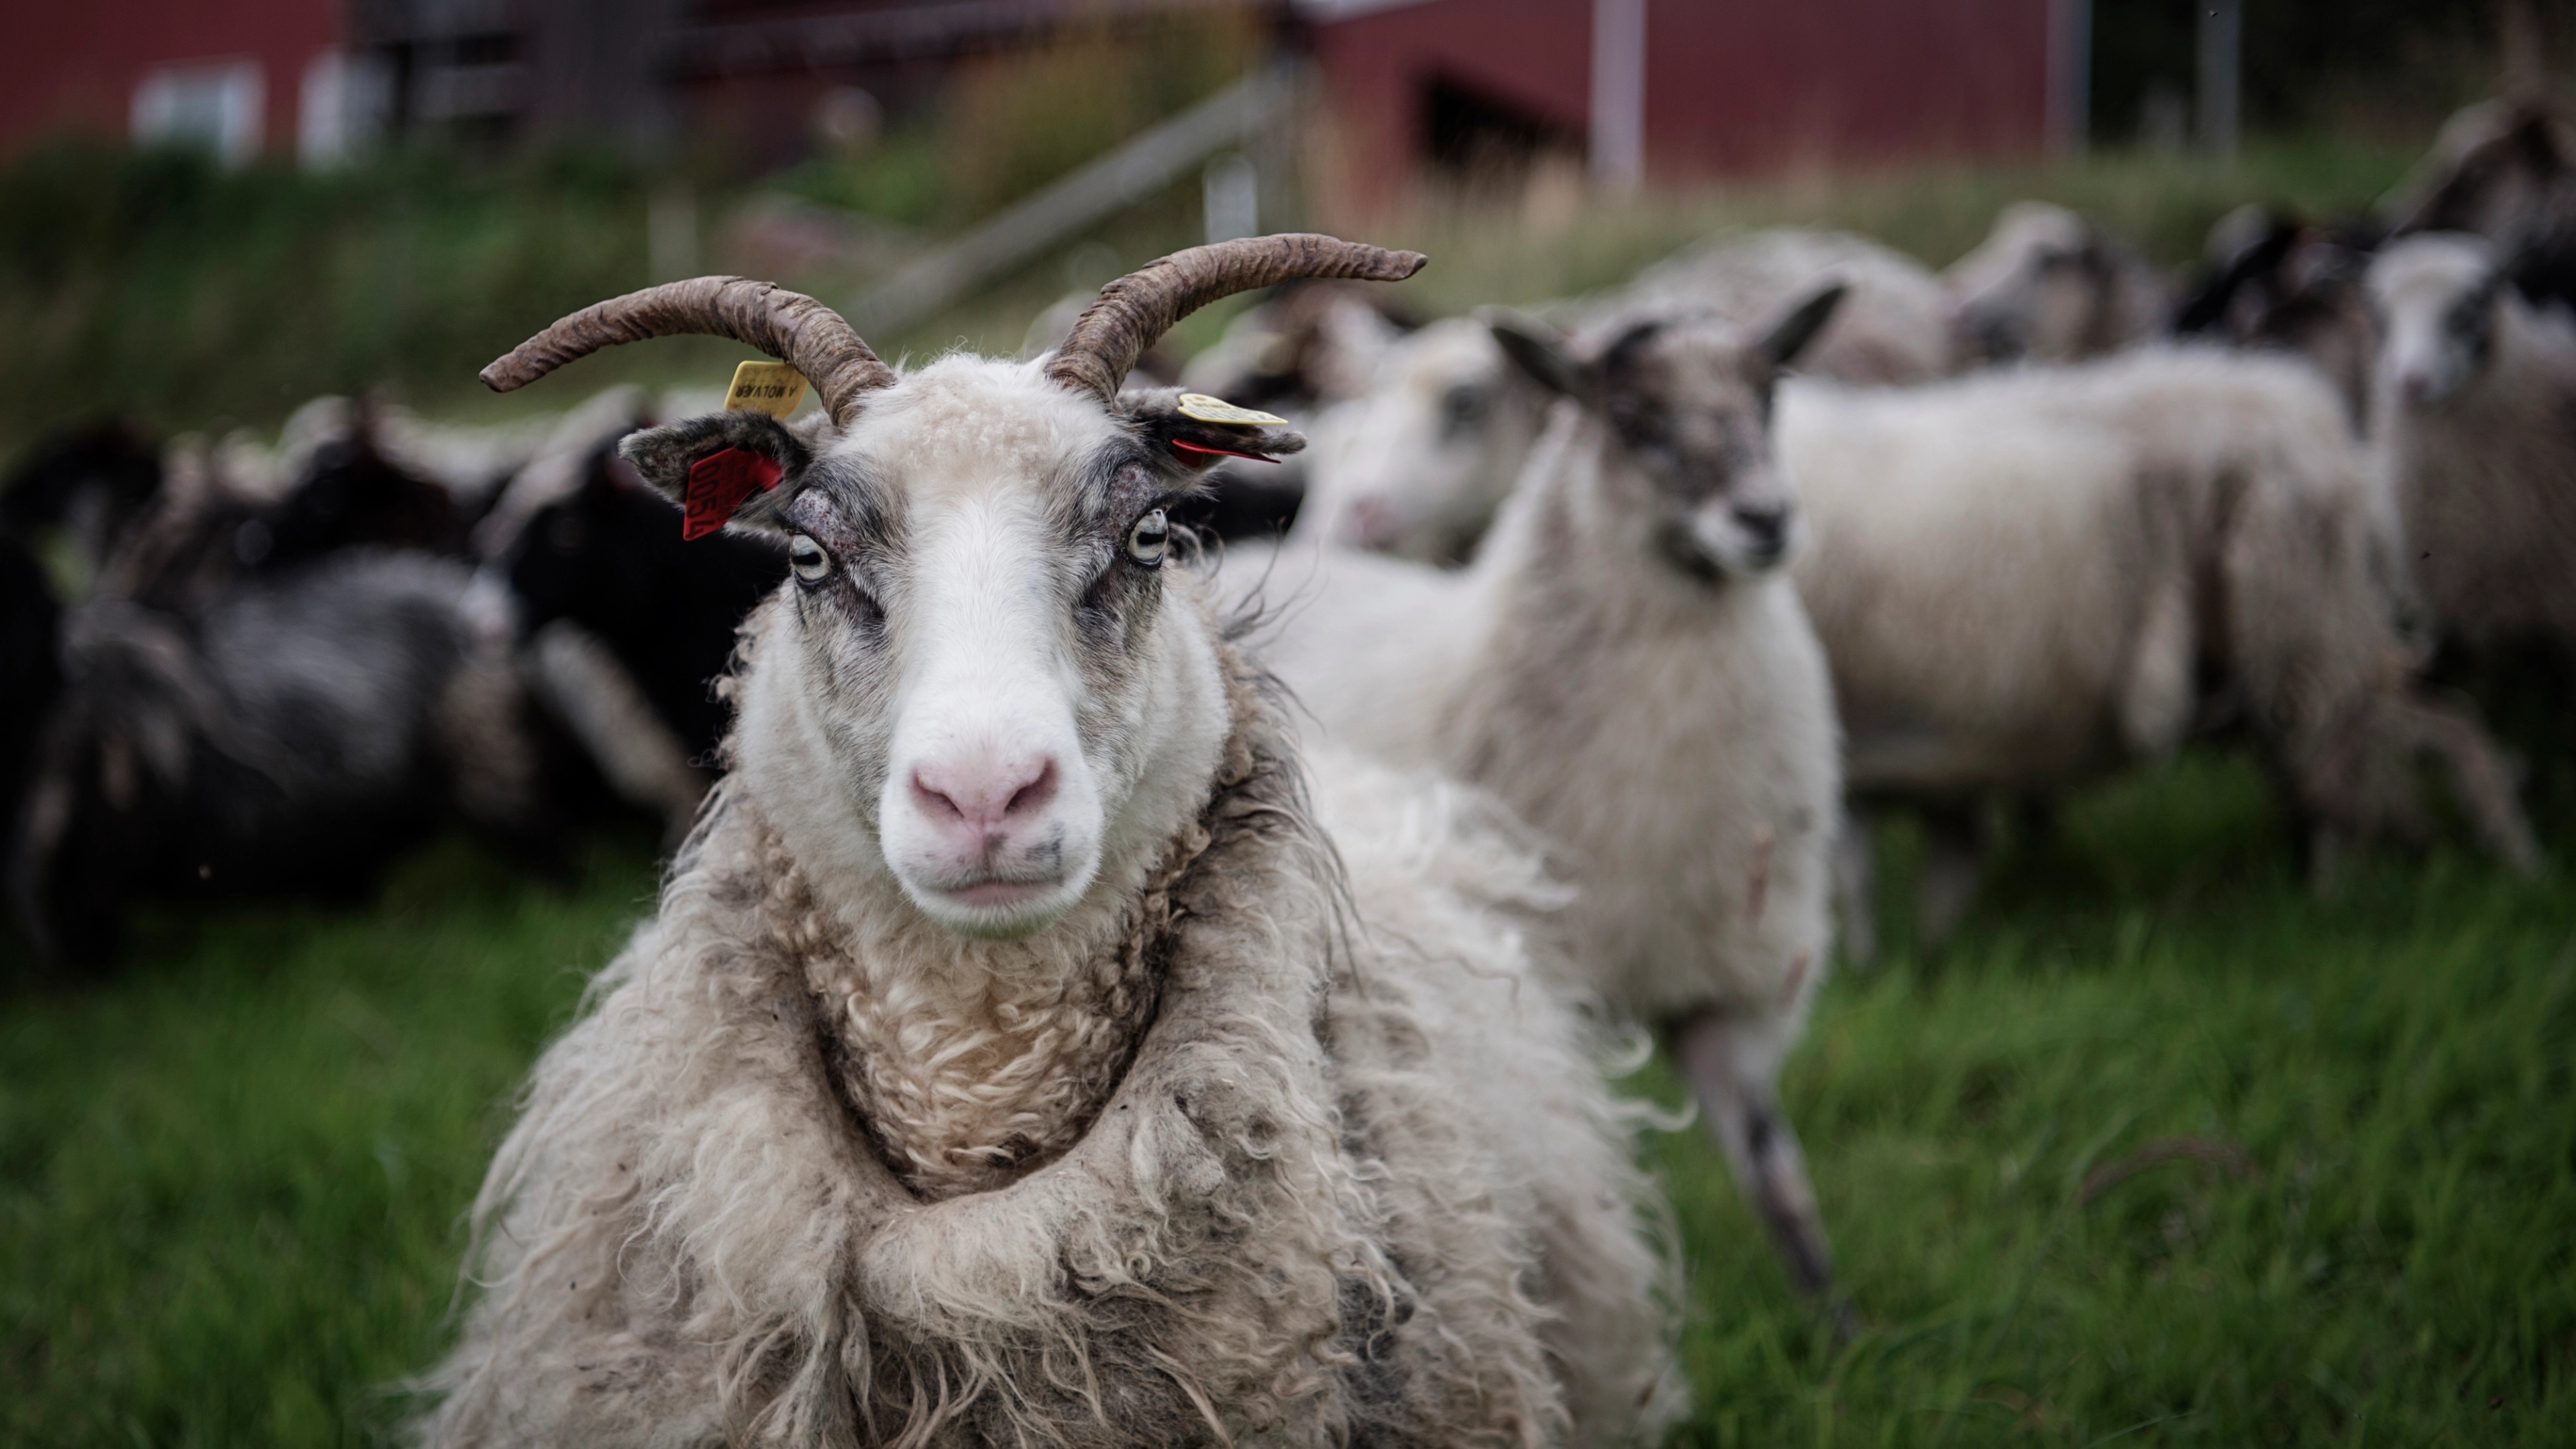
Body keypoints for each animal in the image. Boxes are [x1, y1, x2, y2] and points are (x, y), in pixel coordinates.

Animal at [1221, 290, 1853, 1303]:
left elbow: (1780, 1183)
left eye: (1768, 399)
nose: (1765, 519)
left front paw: (1839, 1325)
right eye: (1630, 421)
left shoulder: (1731, 989)